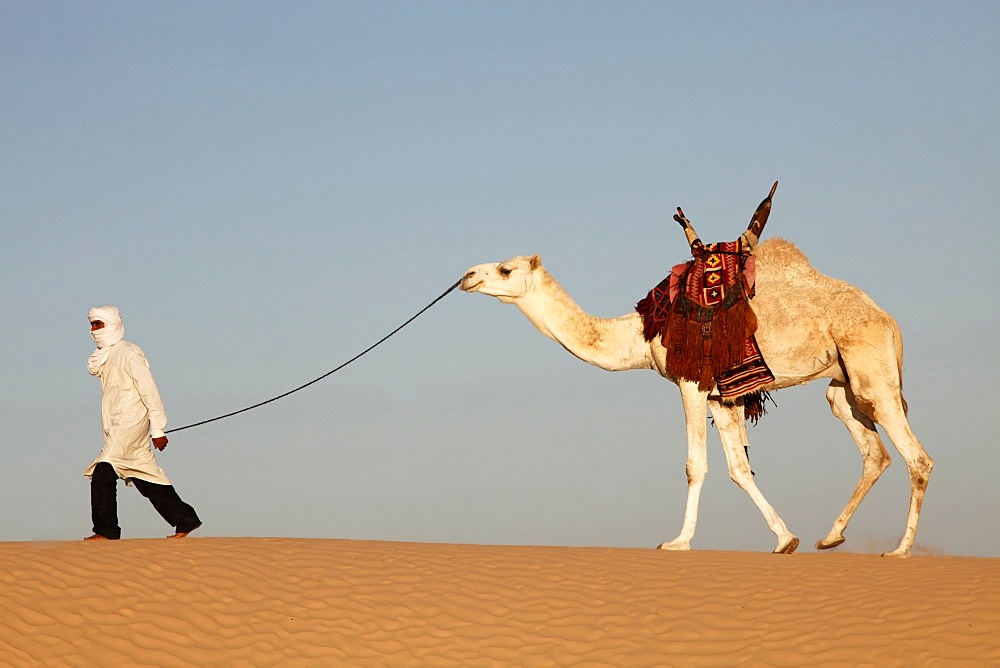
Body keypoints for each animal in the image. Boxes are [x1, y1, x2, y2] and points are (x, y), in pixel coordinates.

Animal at [458, 237, 928, 556]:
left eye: (505, 269)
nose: (467, 276)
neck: (644, 332)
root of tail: (888, 317)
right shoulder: (723, 397)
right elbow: (740, 468)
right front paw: (785, 539)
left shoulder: (692, 384)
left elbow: (695, 465)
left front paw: (678, 541)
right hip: (842, 383)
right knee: (874, 451)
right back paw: (830, 537)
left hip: (870, 367)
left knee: (916, 457)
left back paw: (900, 550)